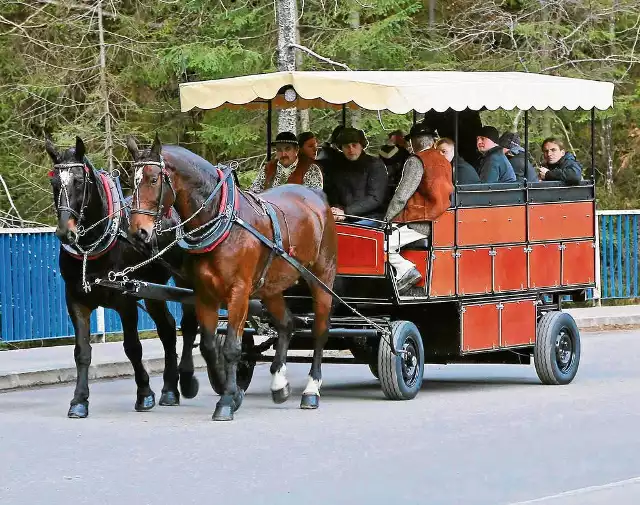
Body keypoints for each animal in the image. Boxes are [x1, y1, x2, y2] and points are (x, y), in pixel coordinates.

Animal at [44, 135, 200, 418]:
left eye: (79, 181)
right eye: (54, 182)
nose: (65, 232)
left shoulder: (125, 301)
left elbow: (133, 347)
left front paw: (144, 394)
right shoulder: (75, 300)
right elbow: (82, 351)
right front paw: (79, 400)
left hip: (185, 281)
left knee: (189, 324)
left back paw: (185, 380)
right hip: (153, 289)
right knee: (167, 329)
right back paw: (169, 389)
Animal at [122, 136, 338, 420]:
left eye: (153, 179)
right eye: (130, 181)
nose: (138, 232)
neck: (220, 217)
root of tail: (317, 196)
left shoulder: (239, 292)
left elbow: (232, 348)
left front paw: (226, 401)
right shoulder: (204, 294)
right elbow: (209, 346)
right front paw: (230, 390)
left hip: (322, 277)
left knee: (320, 330)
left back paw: (312, 389)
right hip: (271, 286)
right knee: (286, 324)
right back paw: (279, 384)